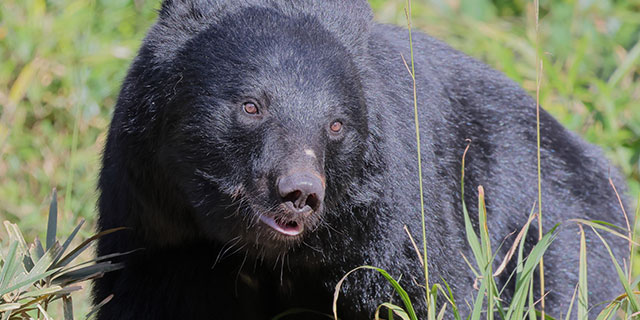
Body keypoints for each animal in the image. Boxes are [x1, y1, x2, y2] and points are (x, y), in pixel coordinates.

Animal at [92, 0, 628, 318]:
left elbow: (427, 291)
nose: (299, 192)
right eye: (250, 106)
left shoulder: (390, 223)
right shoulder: (154, 217)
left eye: (336, 125)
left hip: (561, 238)